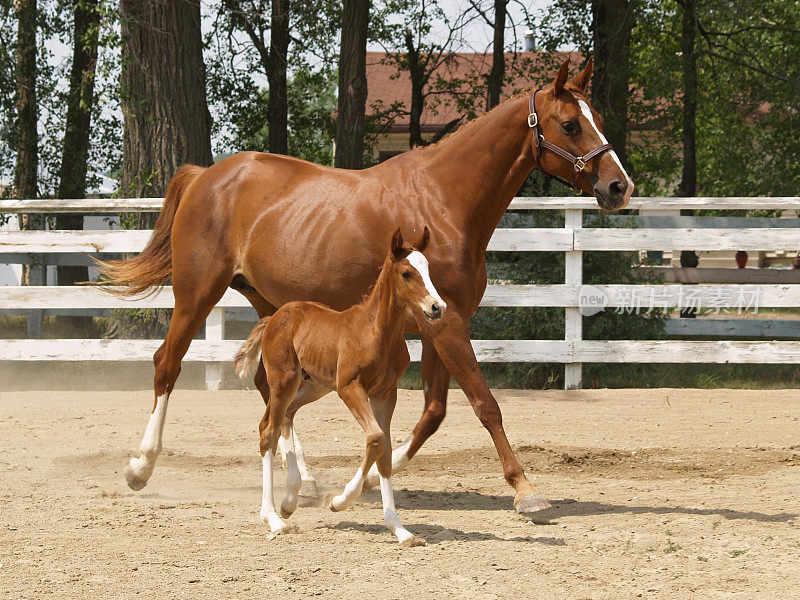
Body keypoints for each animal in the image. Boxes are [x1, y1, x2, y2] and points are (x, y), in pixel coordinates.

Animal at [234, 227, 444, 548]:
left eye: (429, 269)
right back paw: (274, 519)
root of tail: (274, 317)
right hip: (284, 380)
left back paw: (290, 500)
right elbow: (375, 438)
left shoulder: (386, 394)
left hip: (313, 386)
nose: (437, 307)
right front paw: (339, 500)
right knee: (268, 430)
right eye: (407, 273)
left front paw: (400, 529)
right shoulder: (349, 387)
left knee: (284, 417)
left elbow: (385, 451)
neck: (376, 331)